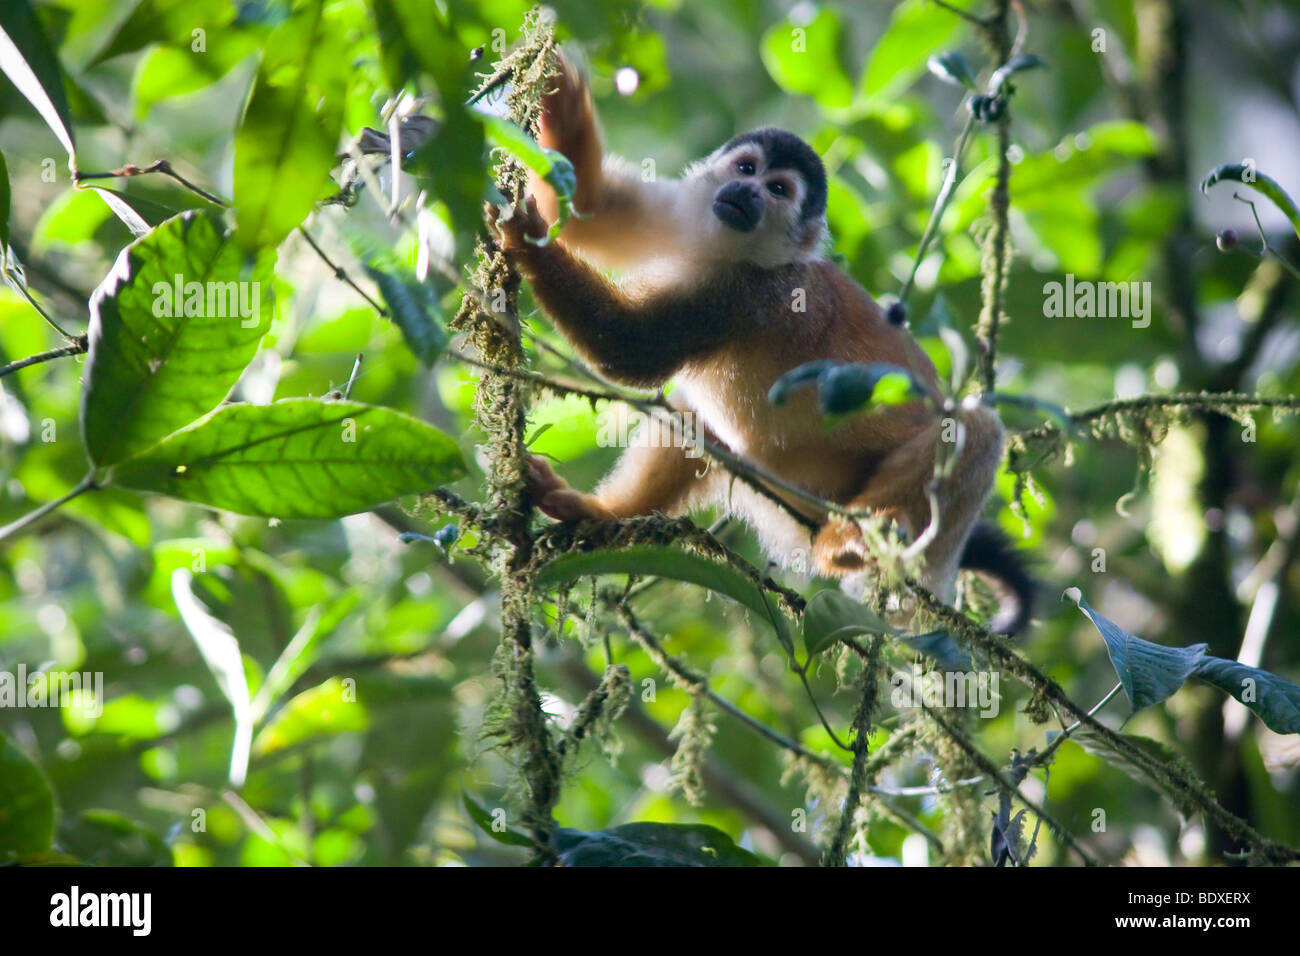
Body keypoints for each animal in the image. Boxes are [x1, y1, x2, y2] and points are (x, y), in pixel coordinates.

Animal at [488, 55, 1034, 632]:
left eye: (778, 192)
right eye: (747, 171)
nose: (746, 194)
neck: (733, 251)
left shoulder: (755, 296)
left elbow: (631, 349)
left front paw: (525, 239)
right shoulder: (688, 214)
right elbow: (591, 211)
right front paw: (561, 101)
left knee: (976, 428)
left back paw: (849, 543)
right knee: (695, 420)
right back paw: (604, 513)